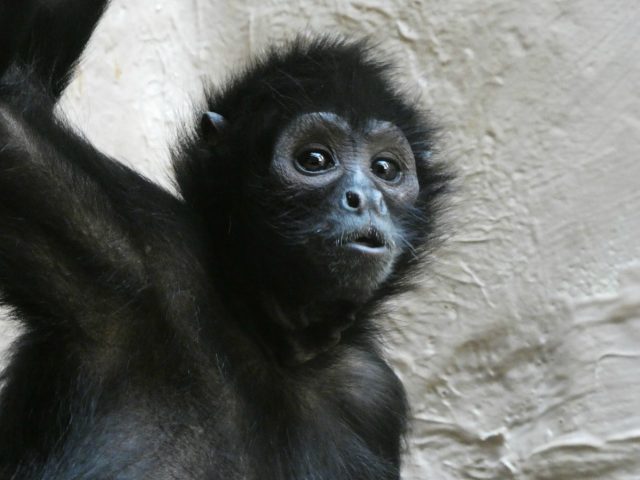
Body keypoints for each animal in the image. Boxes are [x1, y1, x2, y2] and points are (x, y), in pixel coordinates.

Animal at [0, 1, 450, 478]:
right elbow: (9, 126)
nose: (364, 198)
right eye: (314, 159)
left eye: (385, 169)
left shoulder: (372, 393)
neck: (267, 336)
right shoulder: (133, 250)